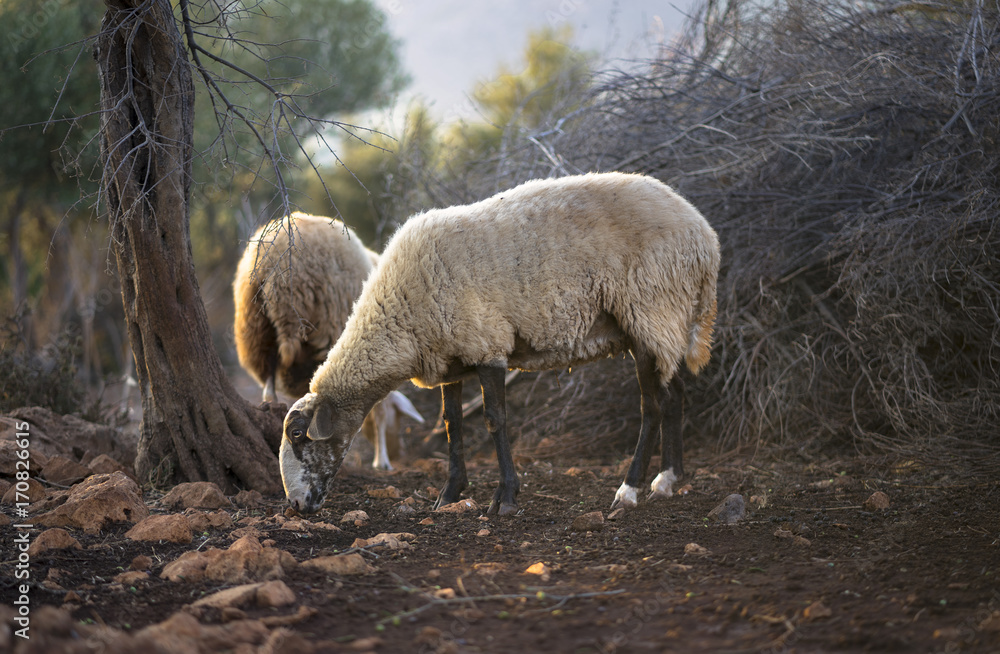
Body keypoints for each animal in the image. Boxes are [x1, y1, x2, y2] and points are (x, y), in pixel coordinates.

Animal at [233, 212, 424, 470]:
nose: (398, 453)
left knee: (269, 390)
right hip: (328, 324)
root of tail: (277, 257)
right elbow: (379, 413)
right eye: (399, 418)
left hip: (257, 327)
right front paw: (381, 461)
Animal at [279, 172, 720, 515]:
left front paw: (505, 496)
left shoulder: (486, 345)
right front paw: (449, 494)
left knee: (652, 406)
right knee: (675, 394)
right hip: (663, 321)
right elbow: (453, 424)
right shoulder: (448, 357)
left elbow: (495, 420)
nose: (296, 506)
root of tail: (706, 238)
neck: (398, 313)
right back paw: (668, 480)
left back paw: (629, 489)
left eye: (298, 435)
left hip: (650, 307)